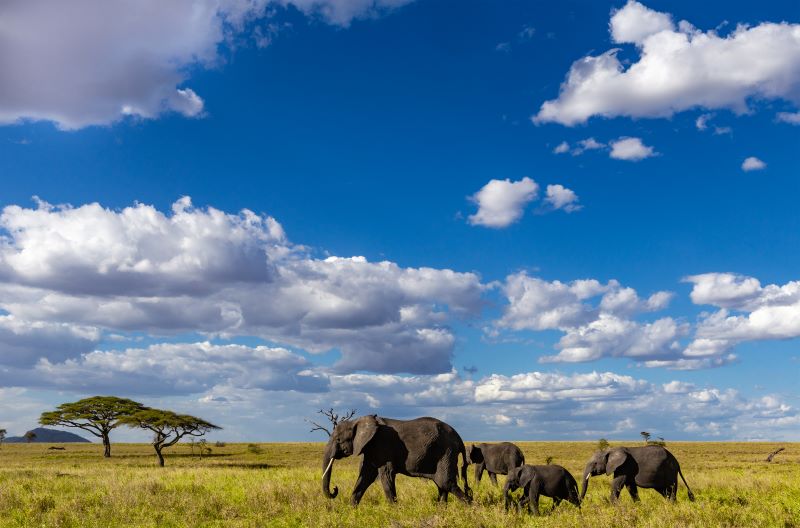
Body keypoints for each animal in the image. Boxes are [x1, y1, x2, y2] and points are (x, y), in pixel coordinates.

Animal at [318, 414, 468, 506]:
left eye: (338, 440)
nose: (335, 488)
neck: (357, 421)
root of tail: (459, 438)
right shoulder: (371, 449)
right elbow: (365, 477)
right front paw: (351, 510)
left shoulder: (383, 446)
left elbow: (386, 475)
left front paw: (394, 510)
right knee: (441, 485)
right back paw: (442, 509)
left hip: (446, 452)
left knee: (446, 483)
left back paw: (470, 507)